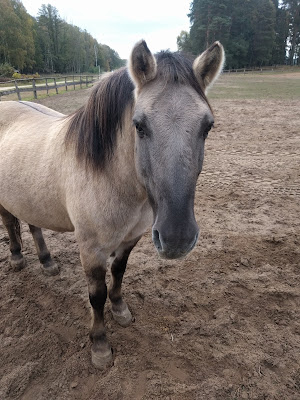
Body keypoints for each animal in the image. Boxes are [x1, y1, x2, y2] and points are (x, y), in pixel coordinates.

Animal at [0, 39, 225, 368]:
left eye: (207, 126)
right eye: (139, 126)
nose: (177, 238)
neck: (112, 178)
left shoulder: (131, 237)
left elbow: (119, 272)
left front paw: (120, 311)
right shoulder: (91, 249)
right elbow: (97, 294)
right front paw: (100, 346)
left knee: (33, 225)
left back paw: (47, 262)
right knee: (9, 222)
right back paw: (17, 258)